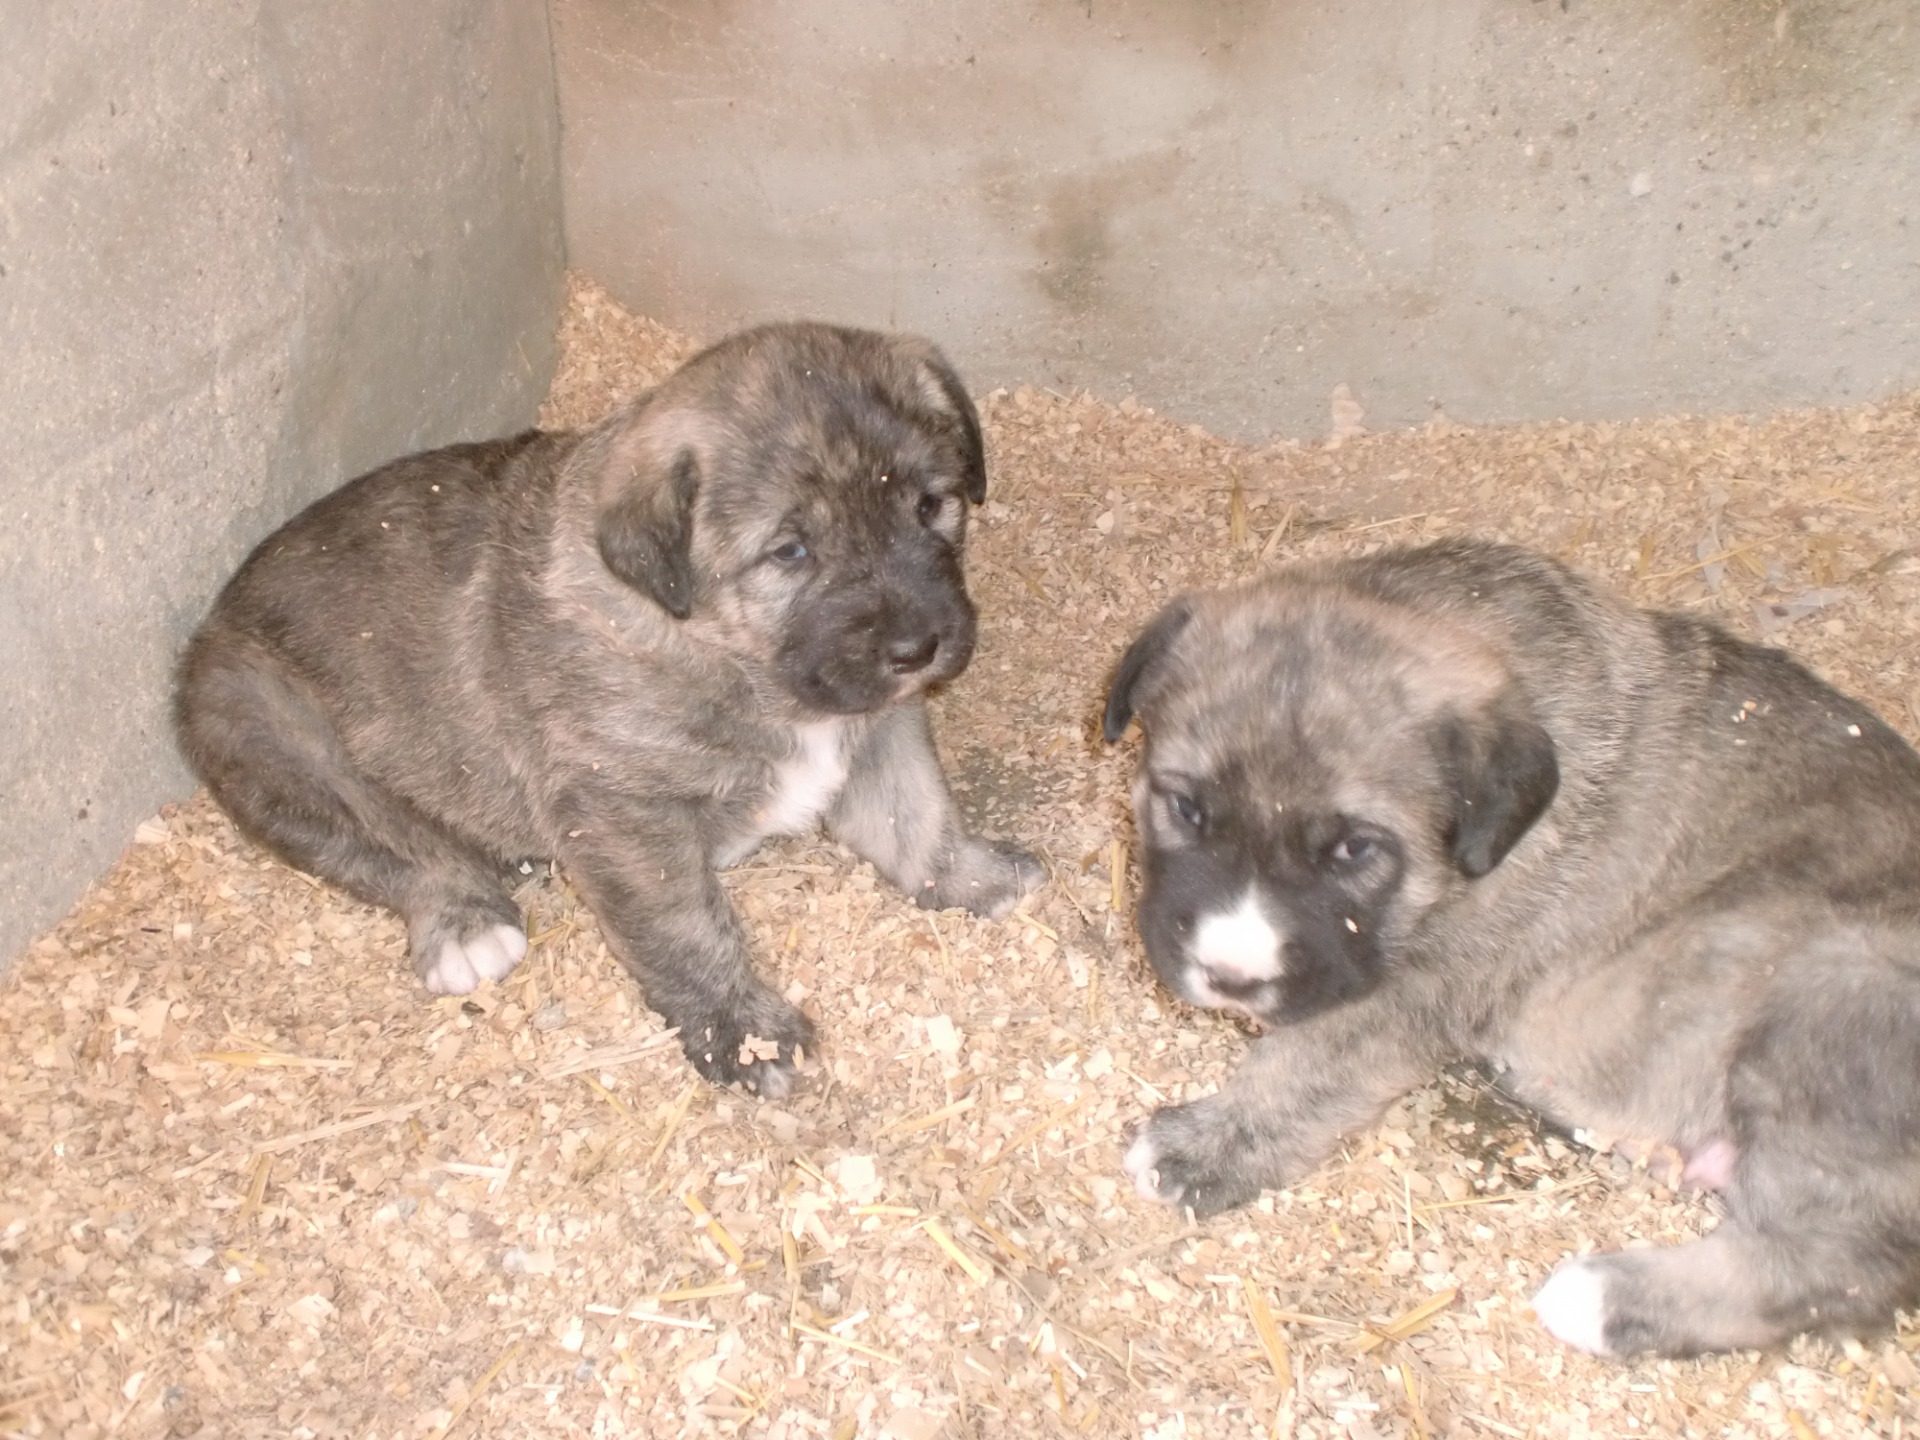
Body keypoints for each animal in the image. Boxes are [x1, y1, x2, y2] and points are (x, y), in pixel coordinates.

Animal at [176, 322, 1039, 1096]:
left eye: (931, 506)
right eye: (790, 552)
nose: (918, 647)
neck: (723, 650)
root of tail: (213, 620)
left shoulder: (882, 723)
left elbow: (917, 817)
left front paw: (973, 877)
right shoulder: (623, 813)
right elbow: (686, 929)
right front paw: (744, 1033)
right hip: (262, 724)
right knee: (380, 840)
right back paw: (465, 921)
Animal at [1102, 538, 1920, 1358]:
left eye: (1353, 850)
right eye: (1186, 808)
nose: (1229, 977)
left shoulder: (1423, 980)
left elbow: (1312, 1059)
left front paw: (1203, 1148)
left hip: (1828, 1000)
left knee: (1837, 1264)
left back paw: (1604, 1297)